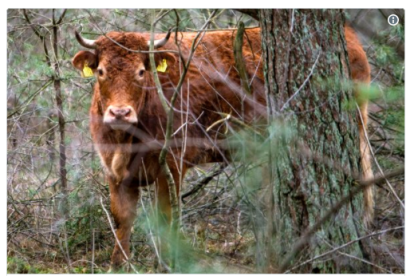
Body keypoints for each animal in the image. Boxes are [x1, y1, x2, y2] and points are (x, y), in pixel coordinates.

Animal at [71, 24, 372, 266]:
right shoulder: (114, 173)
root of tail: (349, 35)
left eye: (142, 71)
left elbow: (166, 217)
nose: (120, 113)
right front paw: (117, 265)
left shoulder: (172, 166)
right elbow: (122, 220)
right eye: (101, 71)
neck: (125, 141)